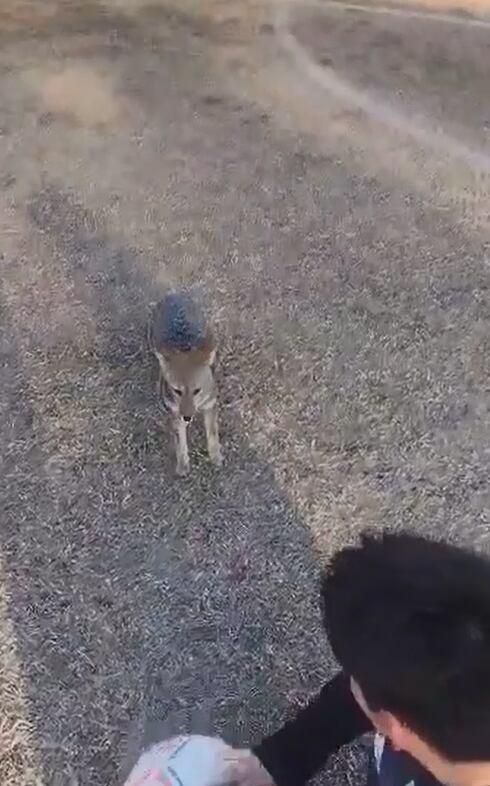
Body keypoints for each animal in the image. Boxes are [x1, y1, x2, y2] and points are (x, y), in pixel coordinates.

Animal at [146, 290, 221, 474]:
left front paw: (216, 456)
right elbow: (180, 441)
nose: (187, 417)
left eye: (197, 391)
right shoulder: (175, 411)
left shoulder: (210, 404)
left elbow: (213, 433)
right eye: (177, 391)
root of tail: (174, 293)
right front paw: (183, 465)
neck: (184, 346)